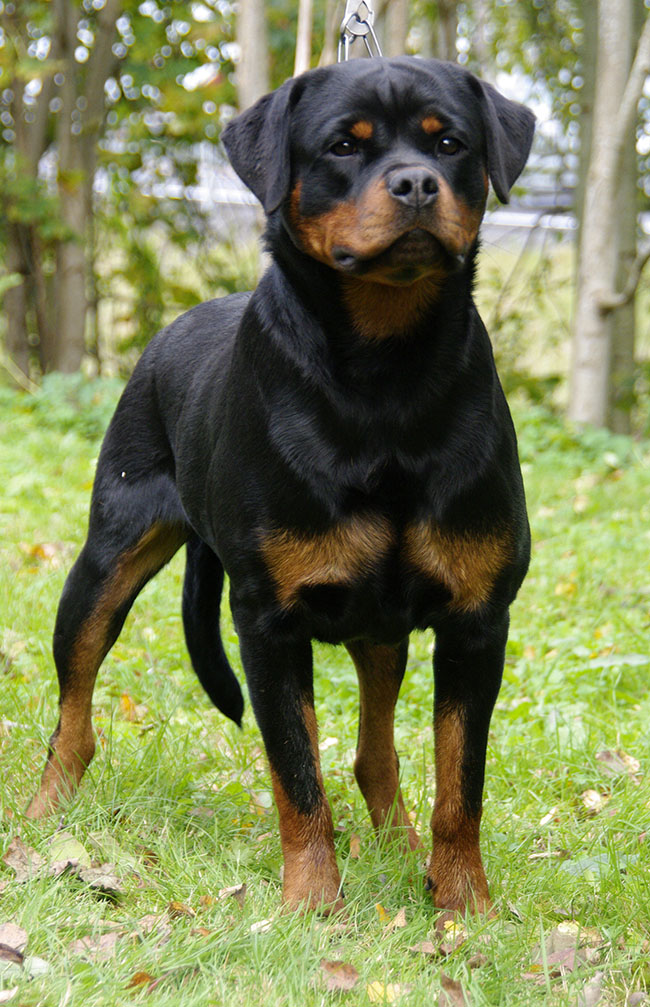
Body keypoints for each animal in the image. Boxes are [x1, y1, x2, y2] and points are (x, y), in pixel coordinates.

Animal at [28, 56, 535, 919]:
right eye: (343, 145)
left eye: (450, 143)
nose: (416, 183)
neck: (384, 376)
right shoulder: (267, 621)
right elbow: (297, 777)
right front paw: (311, 905)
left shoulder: (477, 618)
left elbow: (459, 781)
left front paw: (464, 903)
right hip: (105, 558)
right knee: (75, 713)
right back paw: (41, 818)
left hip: (382, 627)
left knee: (375, 750)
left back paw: (399, 845)